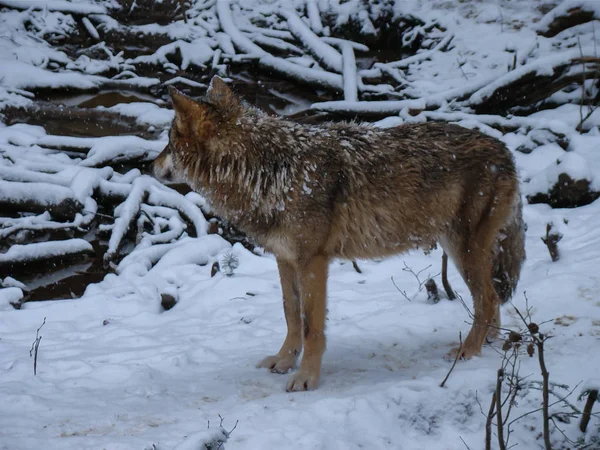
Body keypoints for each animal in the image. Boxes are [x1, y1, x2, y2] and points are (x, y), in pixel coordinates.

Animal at [154, 76, 524, 390]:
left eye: (169, 143)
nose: (149, 166)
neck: (268, 172)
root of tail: (504, 149)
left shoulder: (313, 261)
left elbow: (311, 327)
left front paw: (306, 378)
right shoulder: (285, 259)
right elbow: (291, 316)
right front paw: (284, 361)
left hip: (463, 250)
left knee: (487, 300)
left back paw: (468, 352)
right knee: (491, 299)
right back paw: (488, 343)